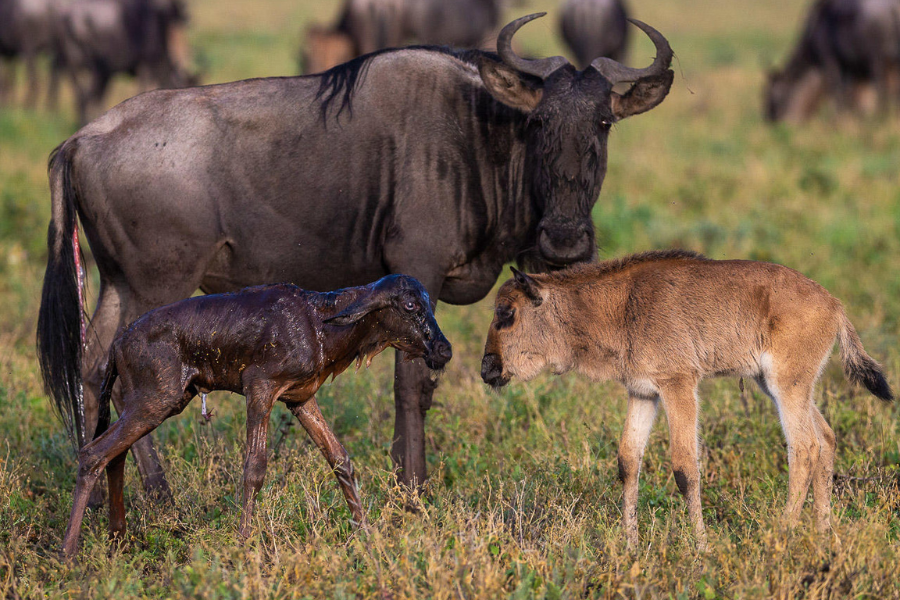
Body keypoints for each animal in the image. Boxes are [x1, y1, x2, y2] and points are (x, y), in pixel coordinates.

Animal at [37, 13, 674, 499]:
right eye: (539, 120)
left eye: (604, 122)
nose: (565, 239)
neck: (481, 134)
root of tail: (81, 138)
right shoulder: (416, 272)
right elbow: (412, 383)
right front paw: (414, 490)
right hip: (155, 288)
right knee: (126, 379)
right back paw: (156, 494)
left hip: (118, 284)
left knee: (94, 366)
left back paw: (117, 493)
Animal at [55, 0, 196, 124]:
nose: (187, 17)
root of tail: (70, 19)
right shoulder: (145, 65)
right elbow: (144, 88)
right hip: (98, 70)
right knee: (86, 98)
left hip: (76, 69)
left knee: (81, 97)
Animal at [765, 0, 900, 122]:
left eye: (773, 97)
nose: (768, 119)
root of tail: (893, 9)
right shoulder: (851, 68)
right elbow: (850, 93)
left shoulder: (830, 61)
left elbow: (836, 89)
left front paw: (837, 119)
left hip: (876, 62)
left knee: (881, 89)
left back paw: (879, 117)